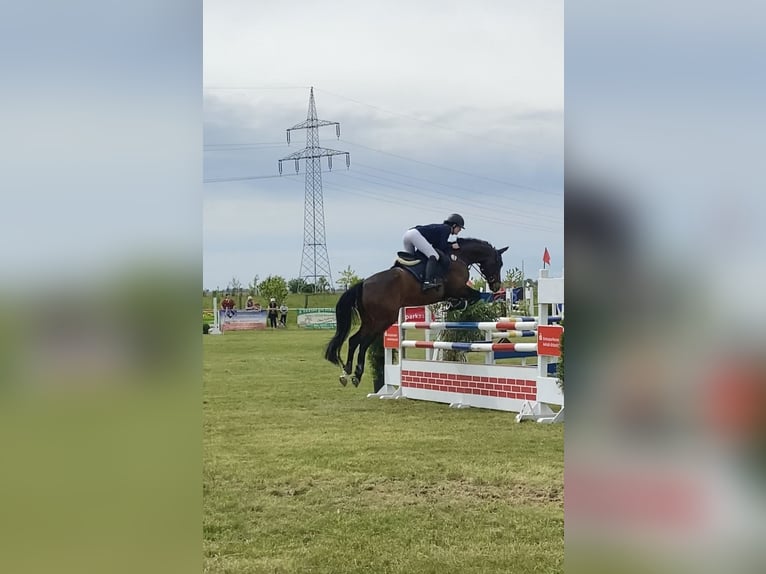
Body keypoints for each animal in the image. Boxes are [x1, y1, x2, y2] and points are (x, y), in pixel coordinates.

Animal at [324, 236, 510, 390]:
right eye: (498, 263)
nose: (496, 286)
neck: (459, 257)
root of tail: (363, 284)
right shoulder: (458, 288)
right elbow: (475, 295)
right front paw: (458, 304)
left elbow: (469, 297)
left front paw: (454, 304)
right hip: (382, 319)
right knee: (363, 343)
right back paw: (356, 373)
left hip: (370, 320)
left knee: (354, 340)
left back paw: (346, 372)